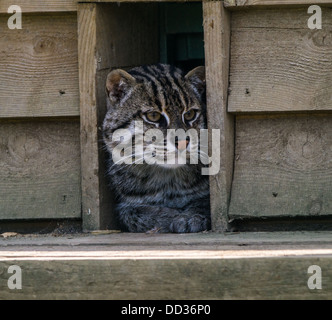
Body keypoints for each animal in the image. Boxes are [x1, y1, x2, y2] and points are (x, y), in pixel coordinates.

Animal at [102, 63, 210, 232]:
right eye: (153, 116)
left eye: (190, 114)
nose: (183, 142)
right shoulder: (125, 203)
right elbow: (129, 212)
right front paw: (166, 216)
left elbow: (204, 203)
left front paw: (190, 216)